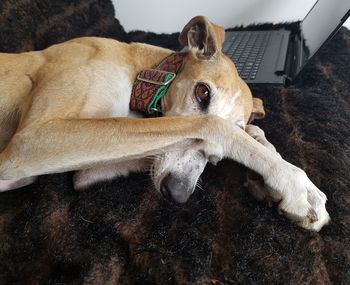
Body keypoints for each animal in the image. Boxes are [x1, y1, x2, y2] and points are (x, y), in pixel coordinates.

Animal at [0, 16, 328, 231]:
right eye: (202, 92)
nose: (177, 192)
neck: (141, 71)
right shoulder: (33, 139)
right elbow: (211, 124)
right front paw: (296, 183)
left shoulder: (85, 170)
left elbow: (251, 130)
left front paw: (276, 176)